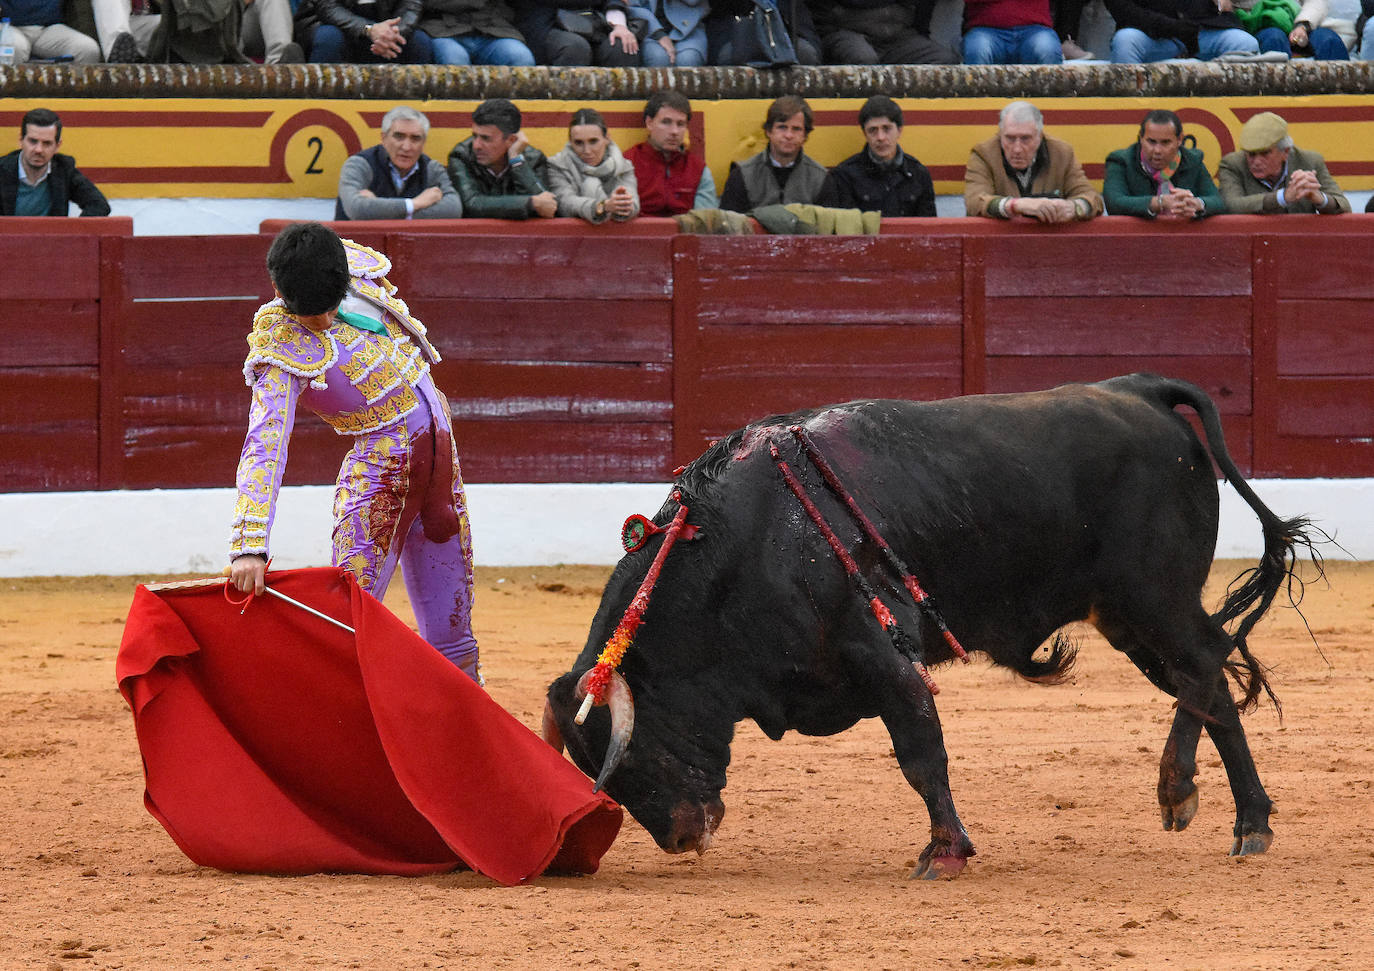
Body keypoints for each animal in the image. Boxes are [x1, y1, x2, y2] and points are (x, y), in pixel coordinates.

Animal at [538, 376, 1319, 878]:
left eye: (629, 756)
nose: (681, 838)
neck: (744, 541)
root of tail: (1141, 390)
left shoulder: (882, 652)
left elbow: (920, 752)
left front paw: (945, 851)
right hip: (1128, 616)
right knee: (1209, 683)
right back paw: (1230, 815)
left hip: (1153, 598)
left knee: (1205, 667)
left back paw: (1198, 799)